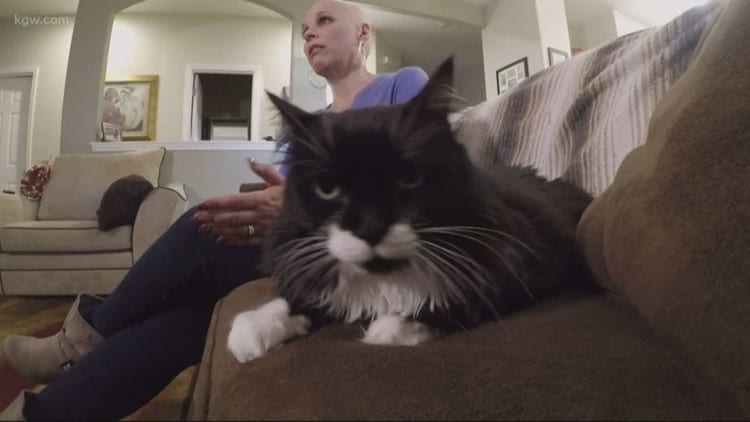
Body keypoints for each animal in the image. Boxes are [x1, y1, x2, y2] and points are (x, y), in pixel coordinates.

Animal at [227, 57, 593, 363]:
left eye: (409, 178)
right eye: (328, 188)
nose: (370, 228)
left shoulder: (513, 264)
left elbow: (453, 299)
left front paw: (392, 327)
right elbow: (298, 297)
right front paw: (252, 330)